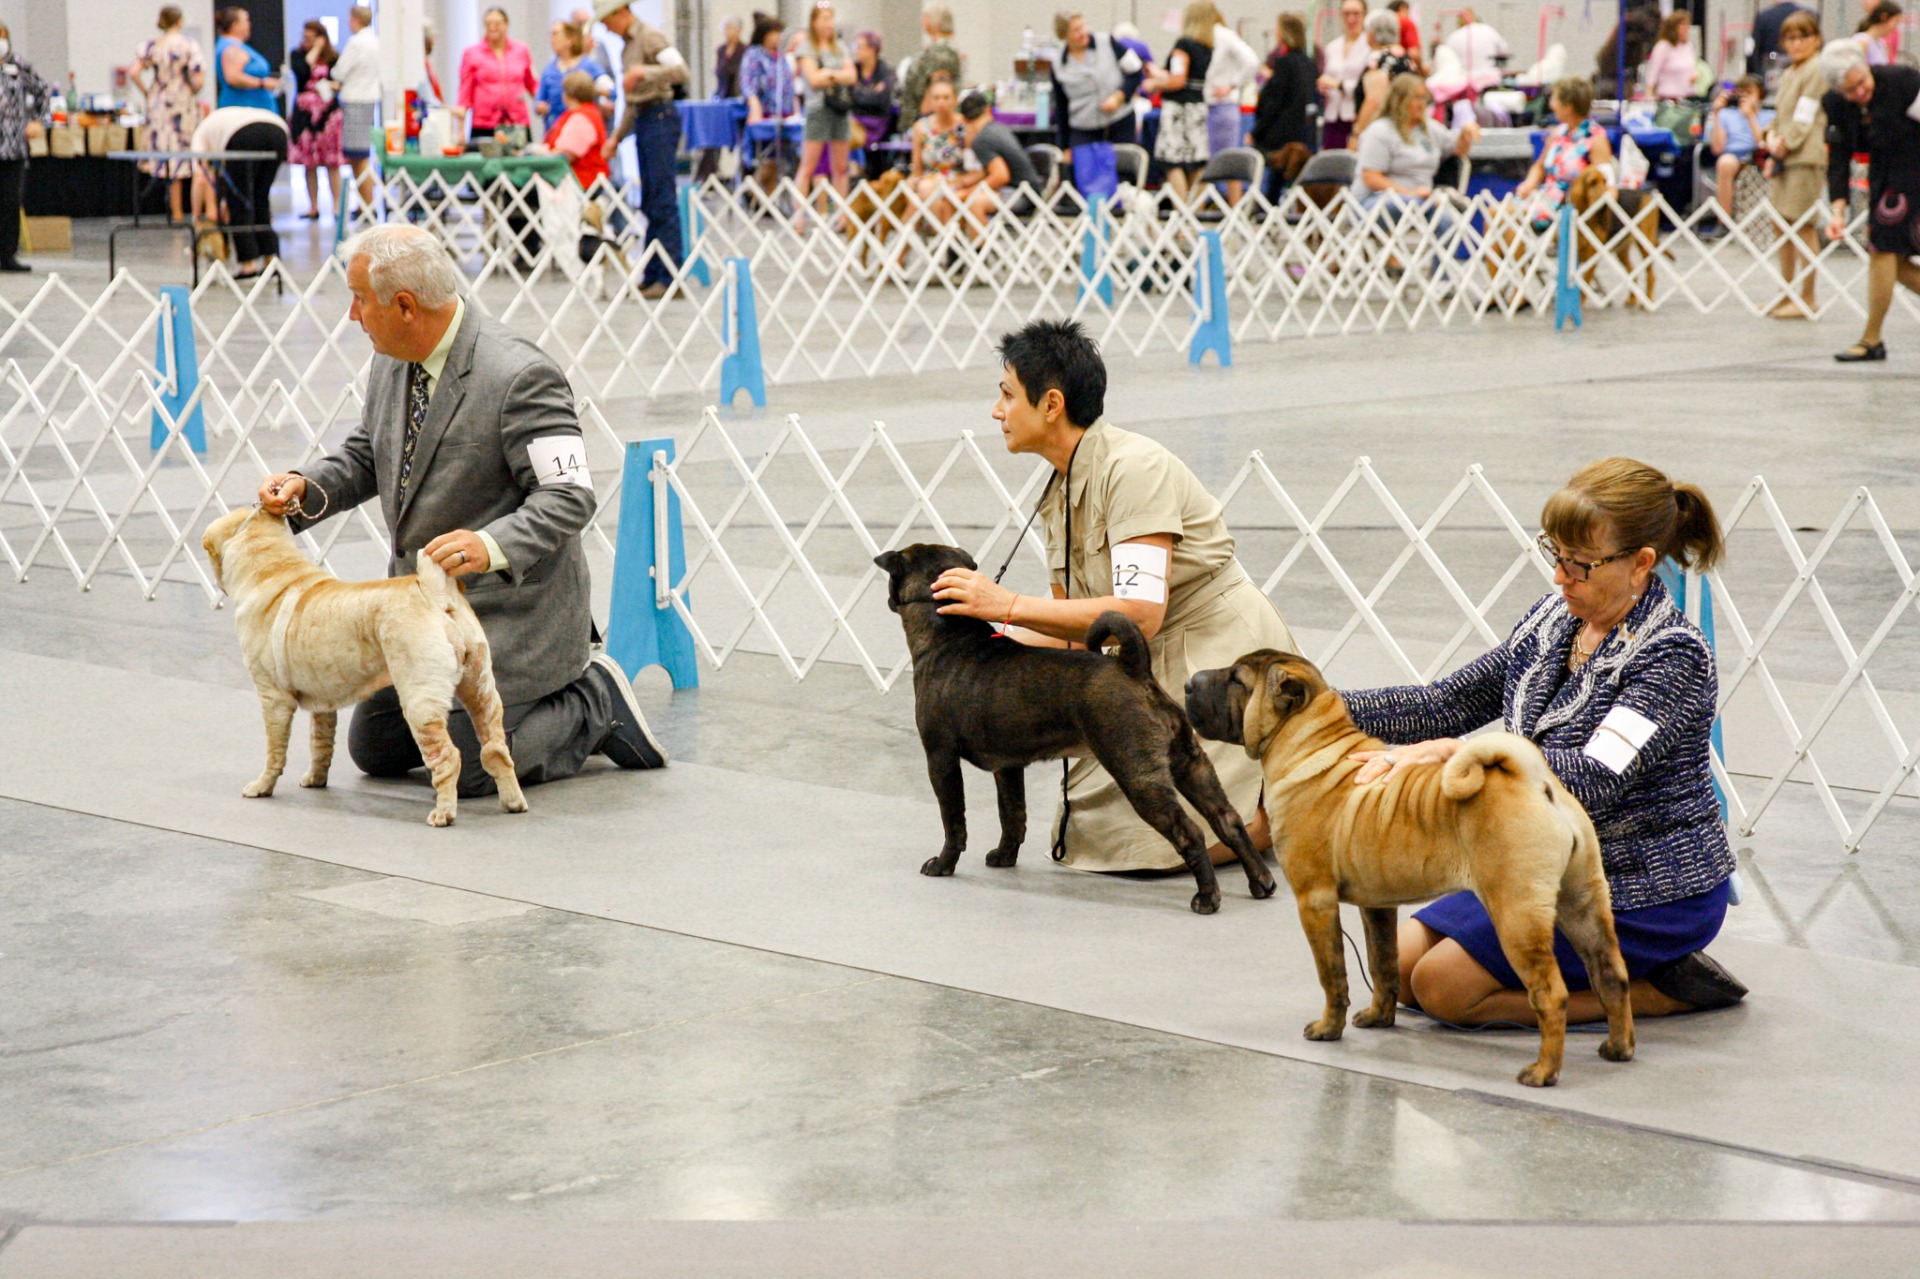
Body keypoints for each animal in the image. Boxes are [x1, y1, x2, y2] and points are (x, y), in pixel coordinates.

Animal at [202, 503, 529, 821]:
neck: (273, 570)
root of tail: (433, 590)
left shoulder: (273, 697)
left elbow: (274, 749)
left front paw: (261, 786)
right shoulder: (323, 701)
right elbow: (321, 743)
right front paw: (315, 779)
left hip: (420, 702)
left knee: (448, 757)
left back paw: (443, 814)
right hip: (481, 688)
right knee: (496, 749)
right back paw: (513, 803)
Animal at [1182, 649, 1635, 1083]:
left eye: (1236, 679)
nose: (1188, 683)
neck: (1309, 745)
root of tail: (1535, 781)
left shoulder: (1315, 901)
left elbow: (1332, 974)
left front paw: (1328, 1028)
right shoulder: (1378, 906)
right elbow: (1382, 964)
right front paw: (1378, 1018)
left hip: (1516, 916)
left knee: (1550, 994)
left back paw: (1542, 1072)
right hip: (1582, 903)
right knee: (1612, 973)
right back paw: (1618, 1047)